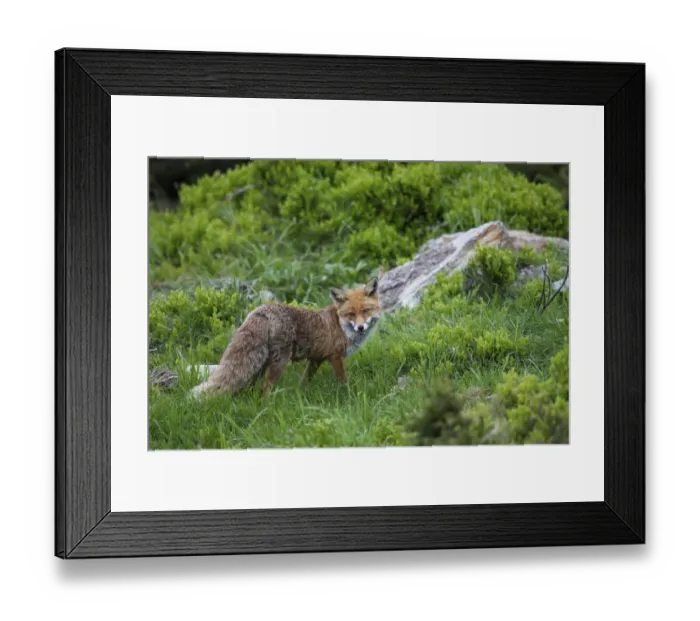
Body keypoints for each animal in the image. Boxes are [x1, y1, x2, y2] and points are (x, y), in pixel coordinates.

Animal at [191, 274, 383, 398]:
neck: (341, 325)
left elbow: (305, 380)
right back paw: (267, 406)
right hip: (279, 362)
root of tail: (260, 310)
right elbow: (344, 381)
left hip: (258, 365)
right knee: (265, 388)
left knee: (248, 386)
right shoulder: (335, 356)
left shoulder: (317, 358)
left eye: (366, 311)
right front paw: (348, 396)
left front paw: (300, 393)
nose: (360, 327)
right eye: (351, 314)